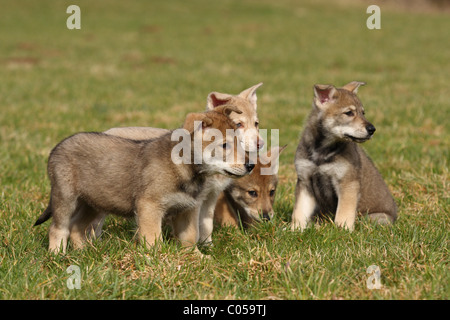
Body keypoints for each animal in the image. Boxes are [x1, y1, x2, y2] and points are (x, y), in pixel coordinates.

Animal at [34, 106, 253, 254]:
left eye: (240, 142)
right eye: (224, 145)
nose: (250, 165)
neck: (185, 167)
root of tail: (57, 147)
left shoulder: (188, 209)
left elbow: (190, 238)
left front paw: (196, 258)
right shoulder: (150, 206)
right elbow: (153, 239)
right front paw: (159, 259)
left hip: (94, 202)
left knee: (77, 227)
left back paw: (83, 253)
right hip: (65, 197)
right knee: (58, 228)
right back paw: (57, 256)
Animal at [290, 82, 396, 232]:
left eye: (363, 113)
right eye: (349, 113)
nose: (372, 129)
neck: (322, 150)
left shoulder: (347, 183)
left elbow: (344, 213)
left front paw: (342, 231)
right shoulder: (305, 181)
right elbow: (299, 211)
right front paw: (295, 229)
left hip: (376, 218)